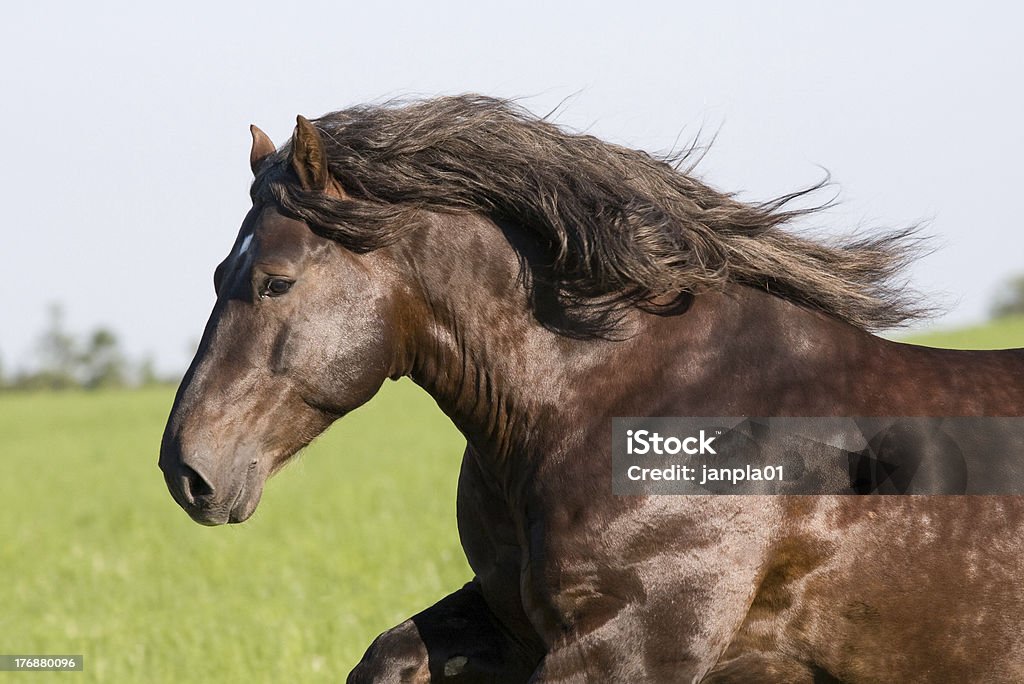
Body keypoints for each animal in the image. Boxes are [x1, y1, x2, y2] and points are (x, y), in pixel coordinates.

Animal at [157, 97, 1024, 684]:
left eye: (274, 282)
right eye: (218, 271)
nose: (186, 471)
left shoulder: (629, 647)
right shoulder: (514, 621)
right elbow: (387, 656)